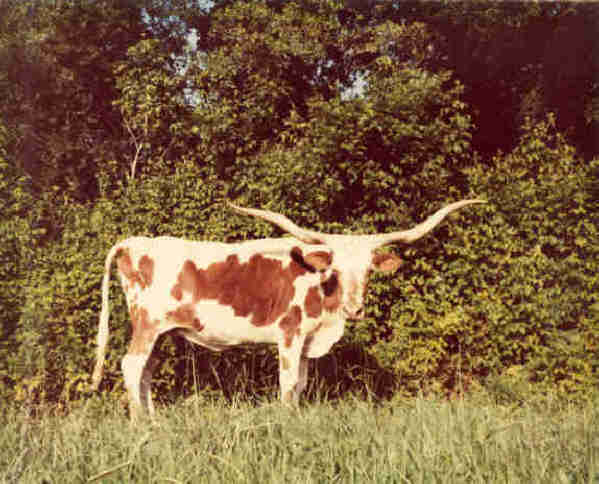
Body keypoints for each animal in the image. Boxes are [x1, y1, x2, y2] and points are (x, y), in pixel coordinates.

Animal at [91, 199, 484, 418]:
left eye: (369, 270)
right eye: (335, 268)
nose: (355, 308)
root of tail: (133, 242)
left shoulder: (308, 341)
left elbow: (302, 384)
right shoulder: (290, 334)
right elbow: (288, 381)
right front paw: (285, 420)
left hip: (162, 332)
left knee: (145, 371)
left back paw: (153, 421)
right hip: (147, 323)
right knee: (131, 366)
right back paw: (139, 424)